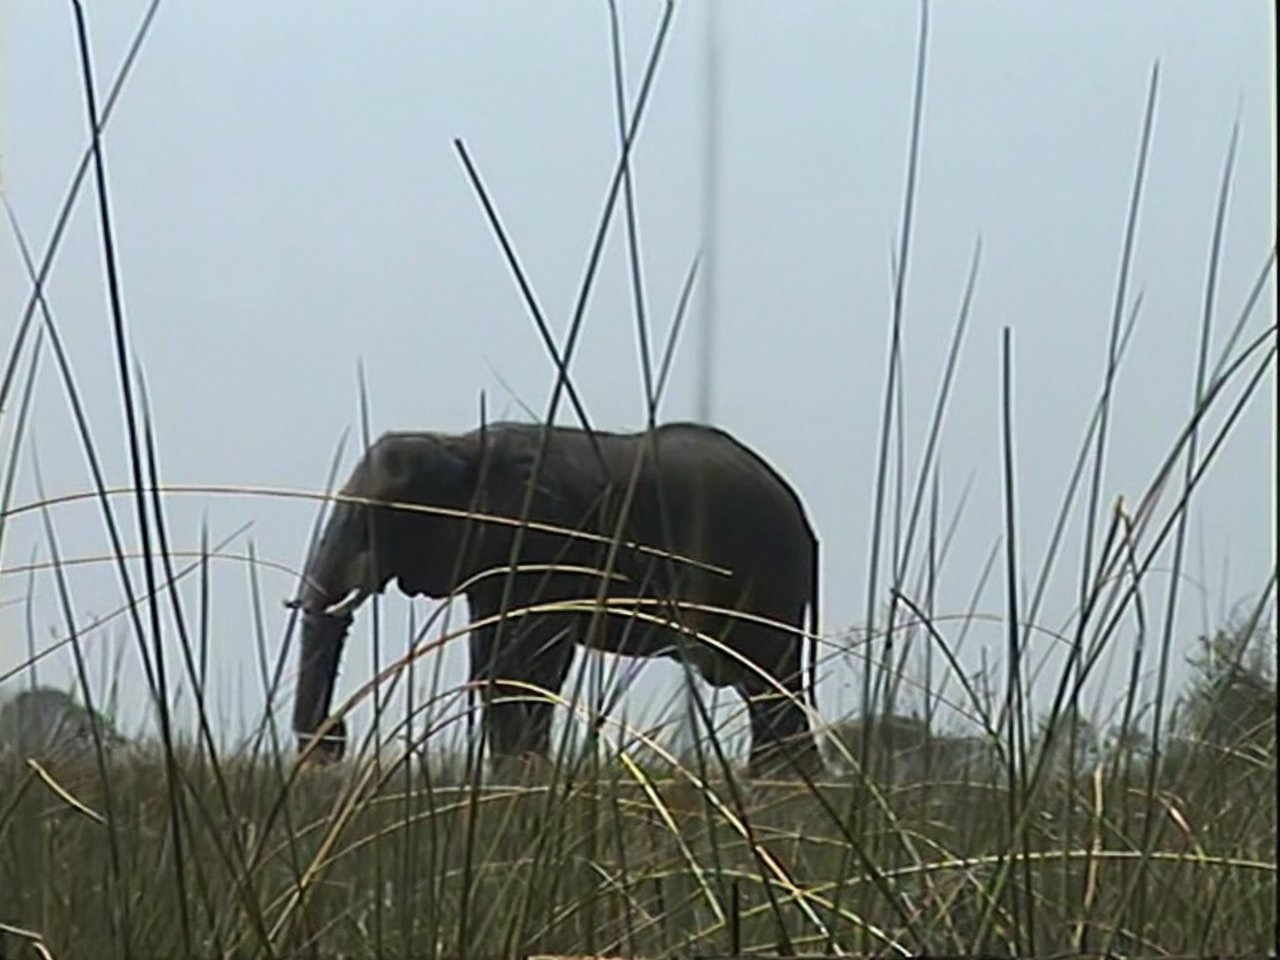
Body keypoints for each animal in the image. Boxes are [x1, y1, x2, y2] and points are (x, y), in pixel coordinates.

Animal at [288, 420, 822, 776]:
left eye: (383, 515)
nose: (332, 742)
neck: (463, 444)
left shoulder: (546, 540)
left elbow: (531, 659)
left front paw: (523, 778)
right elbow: (491, 660)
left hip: (766, 573)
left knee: (769, 678)